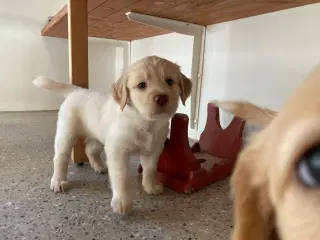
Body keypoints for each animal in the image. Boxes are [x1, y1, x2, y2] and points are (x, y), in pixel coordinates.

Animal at [33, 55, 191, 214]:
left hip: (99, 136)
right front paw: (122, 202)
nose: (162, 98)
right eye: (141, 85)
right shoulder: (117, 150)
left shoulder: (153, 150)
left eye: (170, 81)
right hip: (66, 132)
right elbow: (121, 176)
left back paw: (99, 166)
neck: (145, 122)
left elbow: (150, 169)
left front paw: (150, 186)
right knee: (60, 158)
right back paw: (58, 181)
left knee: (90, 149)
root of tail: (76, 90)